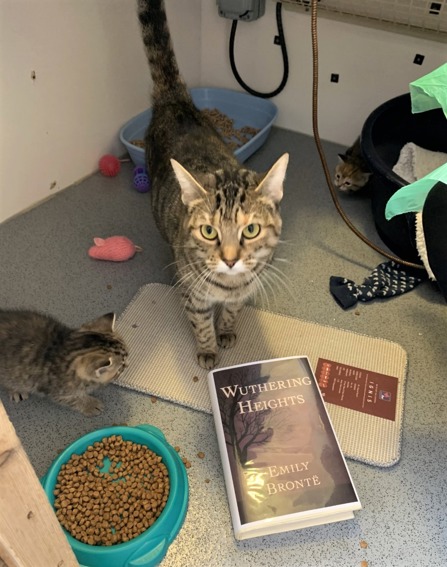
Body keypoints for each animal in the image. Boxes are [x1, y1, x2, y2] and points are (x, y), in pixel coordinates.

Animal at [0, 310, 128, 418]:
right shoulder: (58, 391)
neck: (64, 348)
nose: (126, 366)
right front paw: (90, 404)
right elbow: (74, 399)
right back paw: (16, 390)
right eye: (120, 368)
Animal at [138, 0, 288, 372]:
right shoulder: (194, 297)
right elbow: (201, 323)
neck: (230, 284)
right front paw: (208, 349)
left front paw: (227, 331)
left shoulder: (244, 290)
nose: (231, 260)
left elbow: (233, 311)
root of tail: (176, 102)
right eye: (208, 231)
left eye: (251, 230)